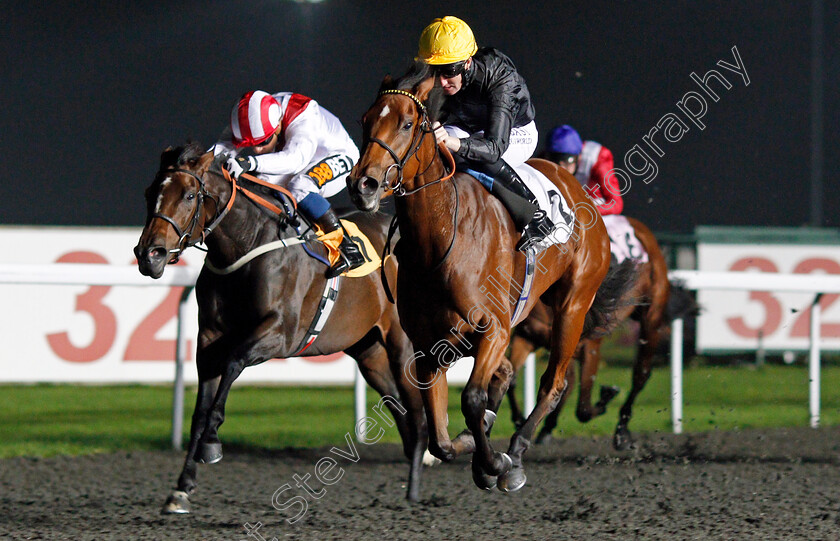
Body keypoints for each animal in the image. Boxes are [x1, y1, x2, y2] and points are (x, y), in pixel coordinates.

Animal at [135, 143, 430, 510]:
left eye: (189, 194)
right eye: (150, 193)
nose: (150, 255)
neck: (247, 245)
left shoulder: (281, 334)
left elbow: (233, 363)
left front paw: (212, 442)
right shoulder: (208, 341)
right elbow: (200, 410)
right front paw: (181, 488)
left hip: (402, 344)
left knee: (417, 413)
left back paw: (415, 489)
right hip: (368, 351)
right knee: (400, 408)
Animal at [342, 65, 632, 492]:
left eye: (408, 123)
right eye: (365, 120)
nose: (364, 185)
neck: (441, 235)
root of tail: (577, 187)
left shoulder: (494, 327)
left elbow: (473, 399)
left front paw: (496, 463)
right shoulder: (429, 345)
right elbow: (441, 440)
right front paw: (474, 450)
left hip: (574, 304)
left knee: (553, 383)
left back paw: (518, 451)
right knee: (511, 376)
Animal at [506, 215, 696, 448]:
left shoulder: (590, 345)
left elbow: (583, 408)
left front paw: (607, 396)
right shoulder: (528, 337)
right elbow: (515, 378)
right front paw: (520, 419)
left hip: (652, 320)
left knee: (640, 375)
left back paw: (622, 430)